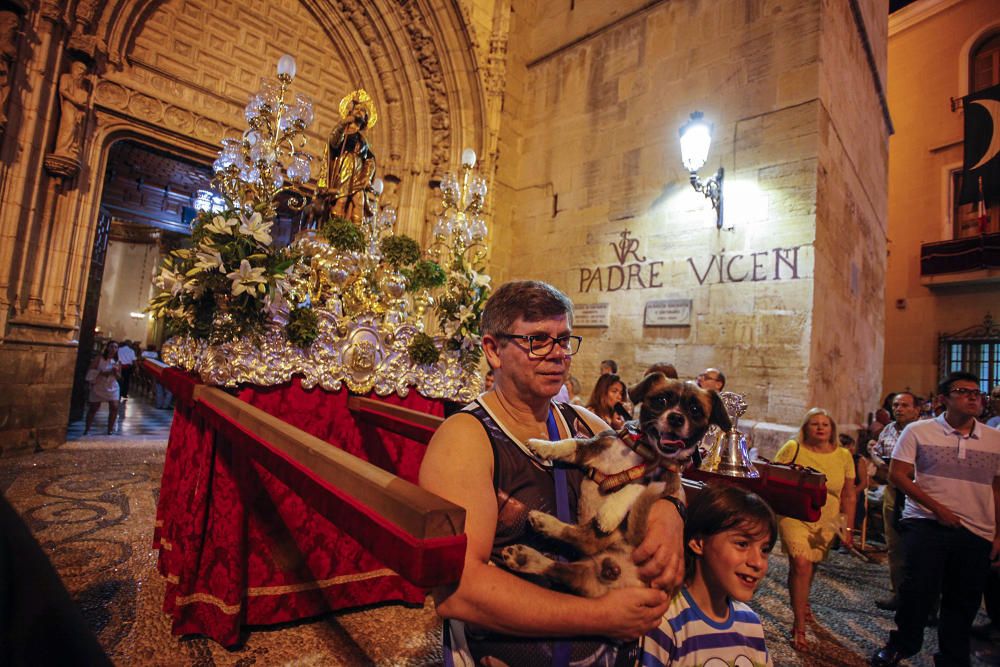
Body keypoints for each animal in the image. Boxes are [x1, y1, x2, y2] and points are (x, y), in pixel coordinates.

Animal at [498, 376, 728, 600]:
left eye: (695, 410)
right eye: (661, 400)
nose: (676, 418)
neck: (645, 451)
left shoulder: (667, 481)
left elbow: (635, 486)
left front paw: (609, 514)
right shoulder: (591, 448)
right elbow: (569, 443)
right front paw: (543, 446)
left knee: (582, 541)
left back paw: (540, 533)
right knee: (574, 551)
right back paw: (527, 554)